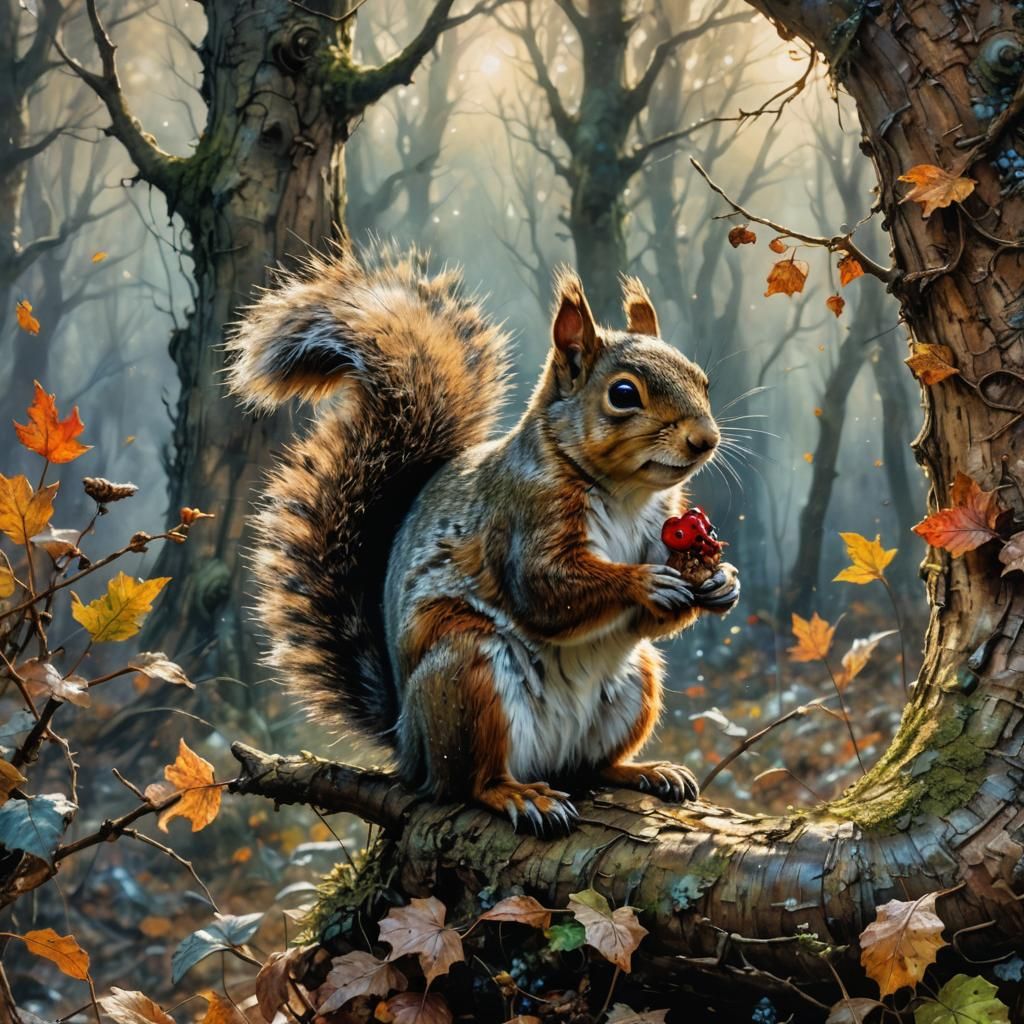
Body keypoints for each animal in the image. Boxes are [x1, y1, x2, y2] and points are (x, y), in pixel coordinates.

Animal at [227, 245, 740, 836]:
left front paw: (722, 583)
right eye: (623, 394)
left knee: (591, 767)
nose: (706, 439)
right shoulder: (520, 519)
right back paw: (521, 796)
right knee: (472, 782)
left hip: (636, 683)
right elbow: (547, 591)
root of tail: (409, 745)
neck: (626, 494)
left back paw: (643, 770)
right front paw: (645, 584)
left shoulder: (665, 525)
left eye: (702, 380)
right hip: (468, 678)